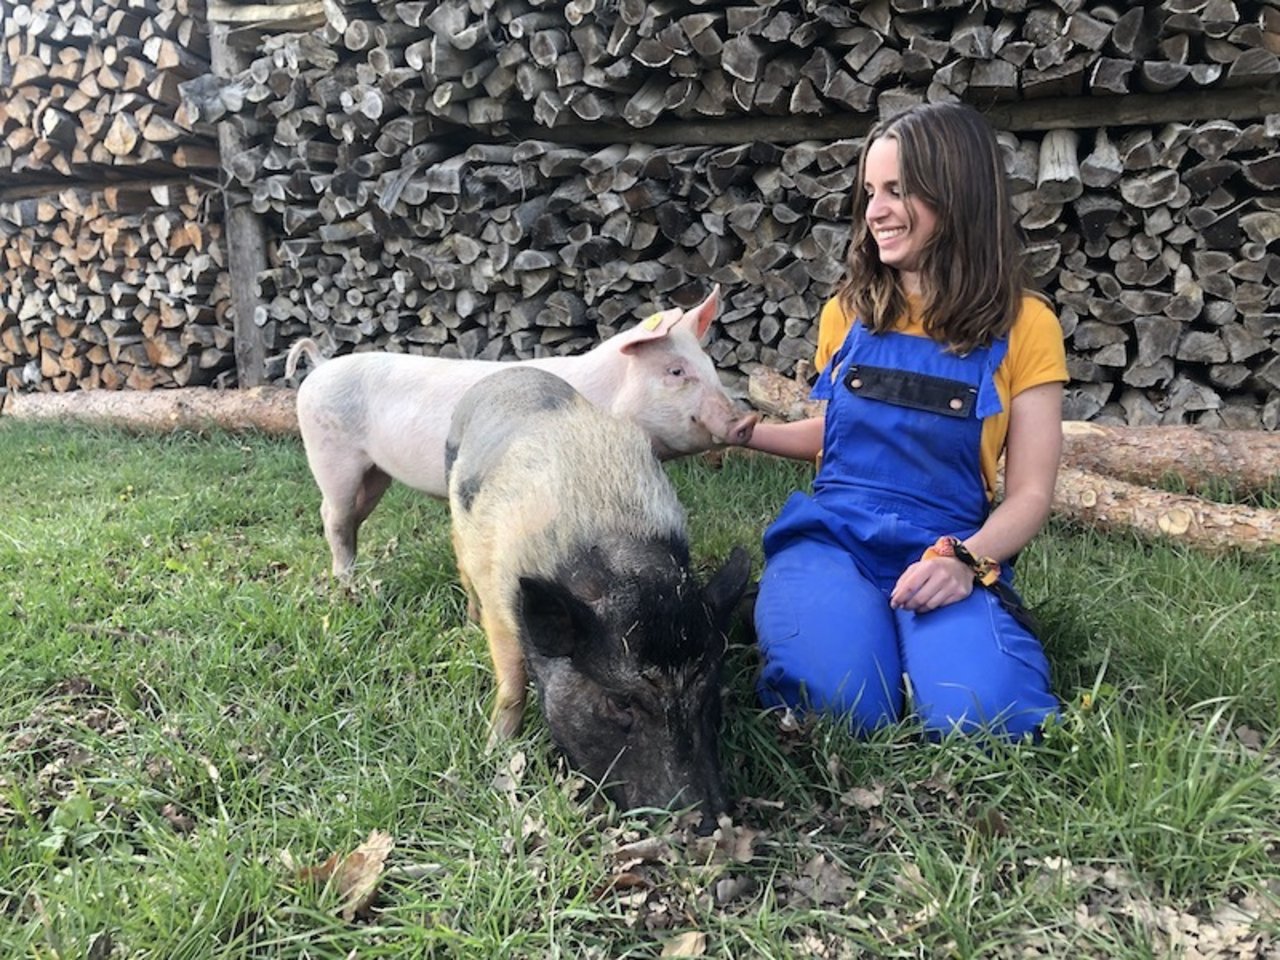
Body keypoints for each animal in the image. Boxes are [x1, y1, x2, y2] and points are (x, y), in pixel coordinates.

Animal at [285, 281, 752, 576]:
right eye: (675, 371)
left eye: (709, 366)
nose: (746, 419)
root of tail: (320, 366)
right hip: (331, 455)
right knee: (332, 516)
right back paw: (349, 584)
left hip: (376, 472)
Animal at [448, 366, 752, 819]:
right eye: (620, 702)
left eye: (709, 693)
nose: (707, 822)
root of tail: (507, 373)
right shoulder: (501, 604)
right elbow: (512, 683)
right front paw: (494, 750)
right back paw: (468, 619)